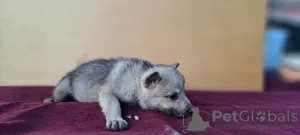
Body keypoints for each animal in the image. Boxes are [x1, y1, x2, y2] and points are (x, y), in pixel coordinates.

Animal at [44, 57, 195, 131]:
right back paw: (51, 100)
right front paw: (116, 119)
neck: (136, 81)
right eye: (173, 96)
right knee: (59, 97)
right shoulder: (107, 93)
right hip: (62, 88)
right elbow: (113, 105)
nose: (191, 111)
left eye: (184, 92)